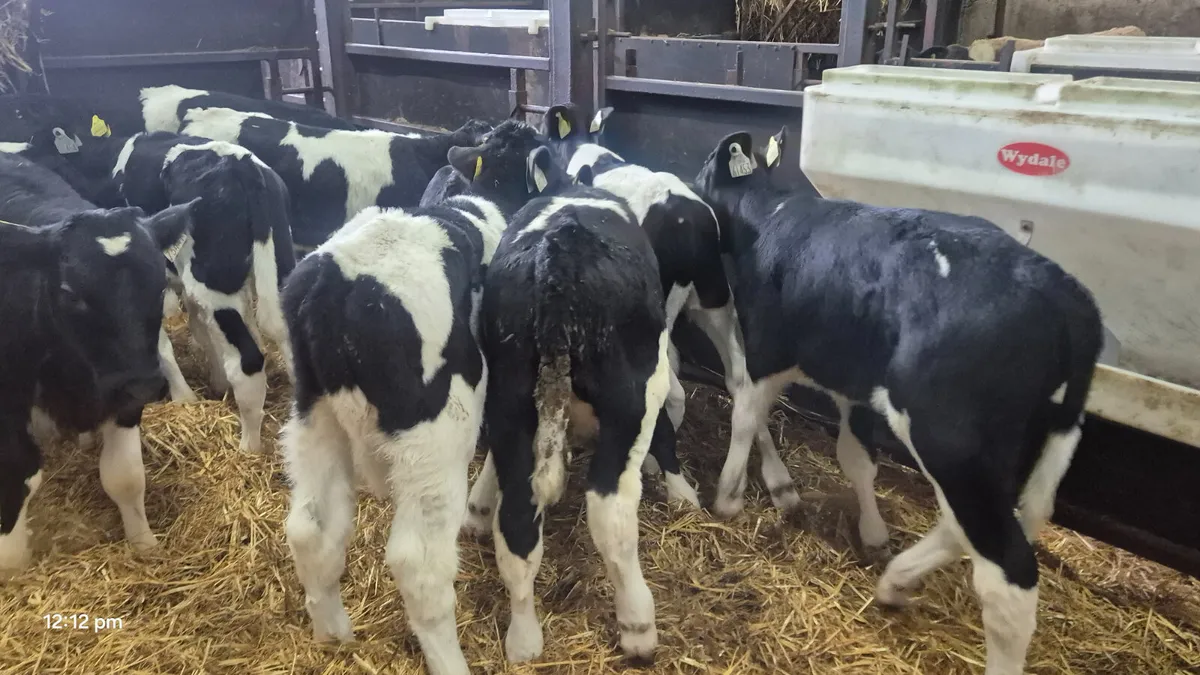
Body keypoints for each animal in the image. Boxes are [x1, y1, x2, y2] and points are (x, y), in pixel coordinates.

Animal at [0, 153, 195, 573]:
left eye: (159, 284)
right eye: (70, 293)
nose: (144, 384)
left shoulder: (125, 395)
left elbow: (125, 476)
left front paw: (144, 544)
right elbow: (18, 474)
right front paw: (13, 565)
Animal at [4, 130, 296, 453]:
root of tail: (241, 163)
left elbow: (162, 343)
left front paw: (184, 397)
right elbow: (200, 327)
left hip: (212, 281)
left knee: (247, 362)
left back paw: (248, 447)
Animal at [279, 120, 552, 675]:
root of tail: (335, 286)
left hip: (312, 413)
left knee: (311, 528)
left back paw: (332, 634)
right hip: (435, 434)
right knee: (419, 564)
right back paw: (450, 661)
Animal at [693, 129, 1103, 675]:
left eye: (703, 168)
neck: (772, 217)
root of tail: (1068, 296)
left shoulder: (766, 350)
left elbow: (743, 413)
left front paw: (728, 497)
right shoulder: (855, 385)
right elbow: (856, 459)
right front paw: (872, 532)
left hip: (949, 440)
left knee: (1007, 571)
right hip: (1031, 439)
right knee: (969, 526)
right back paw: (896, 579)